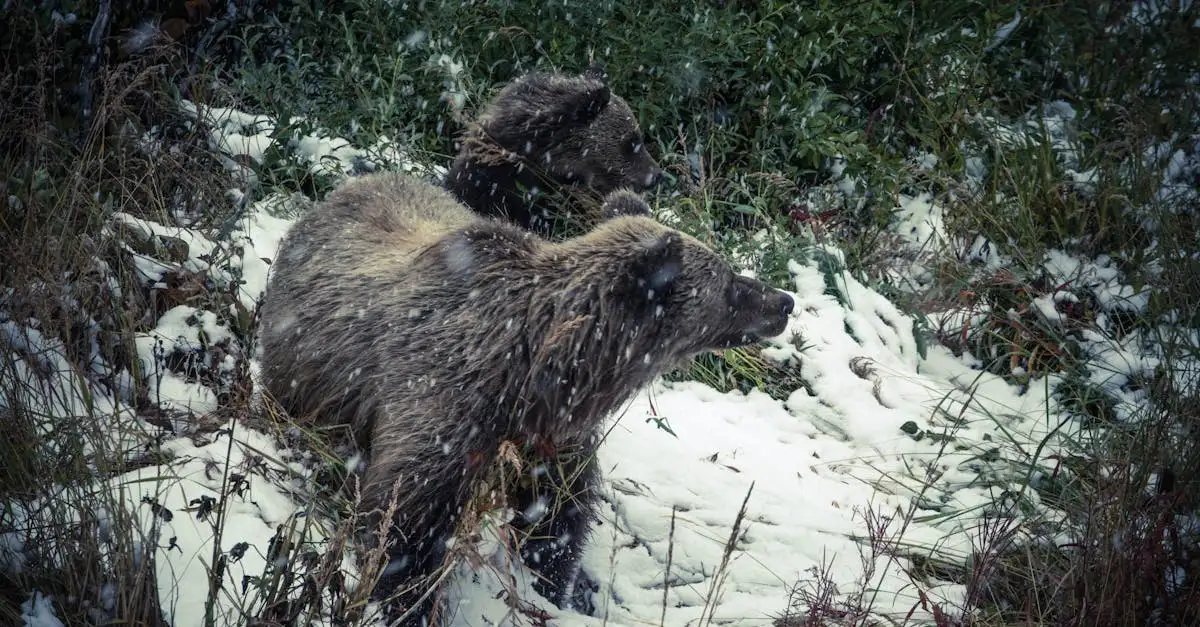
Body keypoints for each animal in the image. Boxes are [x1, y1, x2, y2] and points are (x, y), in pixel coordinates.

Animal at [256, 172, 794, 625]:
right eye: (729, 282)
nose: (784, 301)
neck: (537, 371)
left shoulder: (552, 436)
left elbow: (556, 514)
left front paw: (557, 585)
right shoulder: (443, 408)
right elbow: (403, 524)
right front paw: (410, 603)